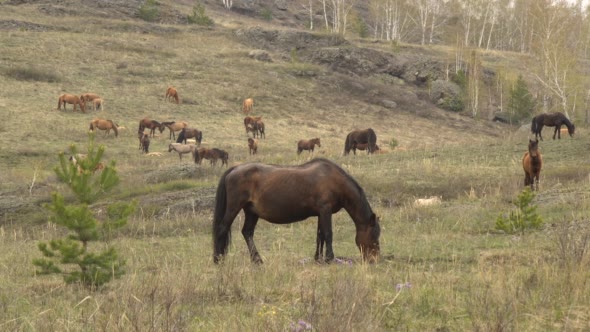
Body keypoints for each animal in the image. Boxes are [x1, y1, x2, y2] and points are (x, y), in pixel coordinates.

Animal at [210, 158, 382, 264]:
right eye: (374, 237)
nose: (374, 260)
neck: (334, 180)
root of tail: (235, 169)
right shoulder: (325, 210)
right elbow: (328, 234)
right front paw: (329, 258)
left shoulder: (321, 213)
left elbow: (320, 236)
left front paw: (318, 258)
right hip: (234, 207)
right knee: (222, 229)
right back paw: (218, 260)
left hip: (251, 212)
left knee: (247, 233)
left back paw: (257, 260)